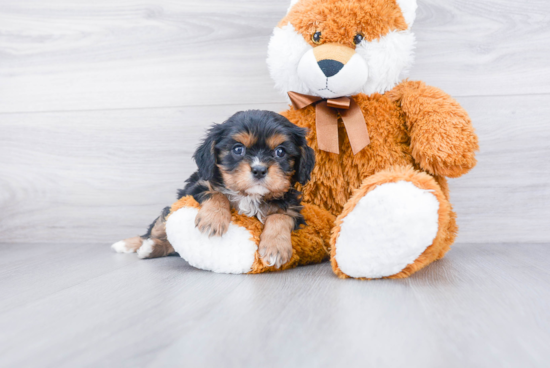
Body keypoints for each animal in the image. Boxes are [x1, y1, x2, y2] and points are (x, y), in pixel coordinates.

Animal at [113, 109, 314, 268]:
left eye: (280, 152)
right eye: (238, 149)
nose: (259, 170)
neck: (248, 196)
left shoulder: (293, 208)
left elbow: (280, 217)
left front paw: (275, 248)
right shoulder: (196, 186)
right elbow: (216, 193)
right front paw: (213, 220)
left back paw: (149, 248)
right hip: (169, 211)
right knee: (155, 230)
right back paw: (133, 245)